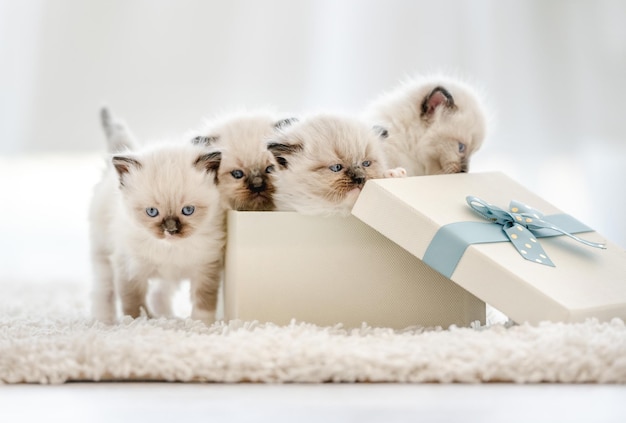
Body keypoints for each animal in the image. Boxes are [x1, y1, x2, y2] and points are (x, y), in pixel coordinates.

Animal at [87, 139, 224, 324]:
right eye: (152, 212)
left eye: (188, 210)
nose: (171, 230)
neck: (169, 249)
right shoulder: (130, 269)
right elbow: (134, 304)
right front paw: (137, 323)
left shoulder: (206, 267)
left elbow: (204, 303)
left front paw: (202, 324)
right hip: (103, 256)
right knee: (103, 291)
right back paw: (104, 321)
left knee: (158, 294)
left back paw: (168, 317)